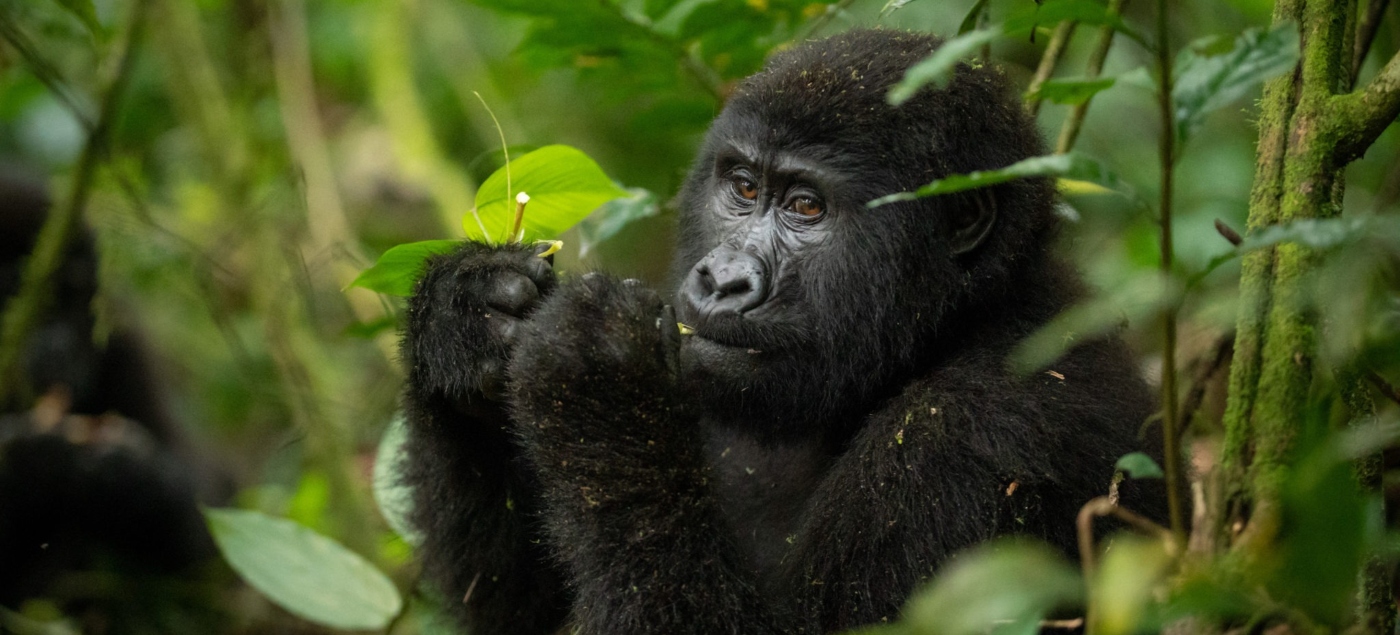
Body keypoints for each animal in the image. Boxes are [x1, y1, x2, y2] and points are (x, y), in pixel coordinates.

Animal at [397, 28, 1159, 635]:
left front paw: (596, 378)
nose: (721, 279)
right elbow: (524, 613)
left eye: (806, 207)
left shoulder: (985, 432)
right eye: (741, 188)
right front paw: (464, 318)